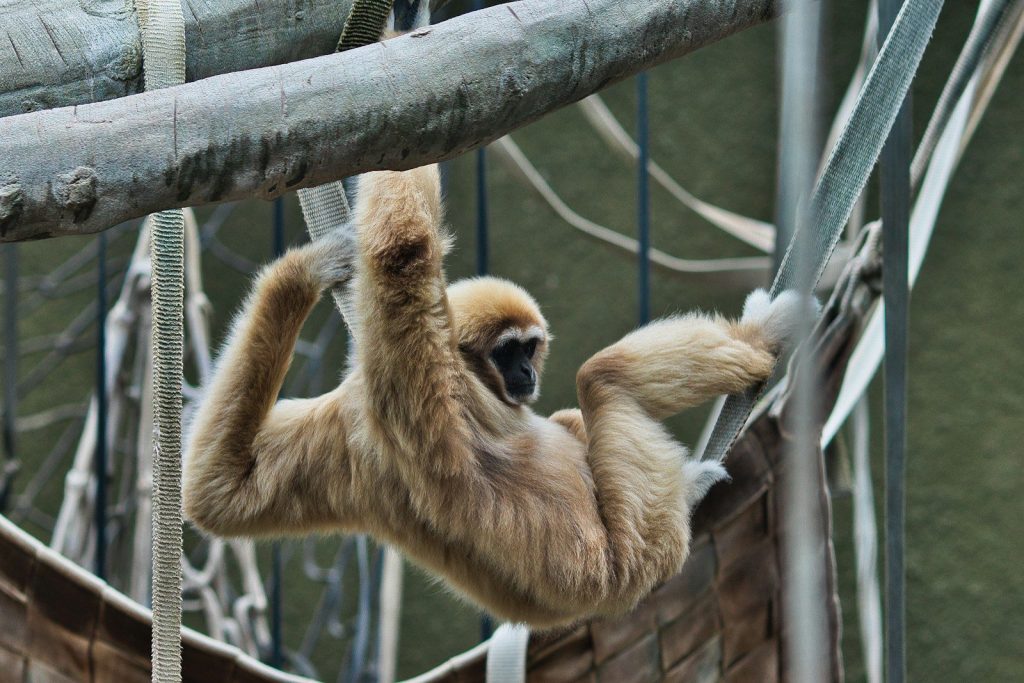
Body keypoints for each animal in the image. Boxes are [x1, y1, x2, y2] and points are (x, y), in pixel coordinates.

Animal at [183, 165, 811, 628]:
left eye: (530, 348)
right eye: (510, 353)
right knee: (604, 379)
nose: (527, 374)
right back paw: (759, 346)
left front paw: (303, 270)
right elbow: (405, 251)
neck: (473, 382)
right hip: (637, 553)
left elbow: (221, 492)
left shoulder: (348, 421)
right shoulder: (425, 390)